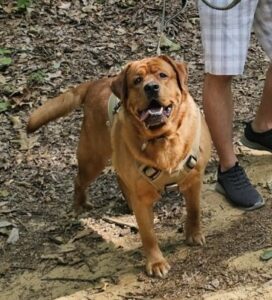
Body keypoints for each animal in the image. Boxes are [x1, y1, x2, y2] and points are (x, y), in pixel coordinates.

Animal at [27, 55, 210, 276]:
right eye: (137, 81)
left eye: (162, 75)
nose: (151, 87)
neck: (163, 138)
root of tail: (96, 84)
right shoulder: (142, 197)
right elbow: (148, 235)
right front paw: (156, 262)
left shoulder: (194, 179)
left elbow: (194, 210)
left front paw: (194, 234)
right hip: (93, 158)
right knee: (80, 180)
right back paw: (80, 204)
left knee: (118, 177)